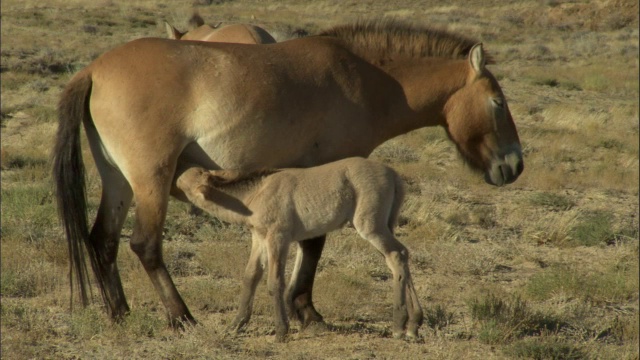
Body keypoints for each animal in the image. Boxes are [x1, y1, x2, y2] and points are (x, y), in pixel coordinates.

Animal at [53, 19, 524, 330]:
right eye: (498, 102)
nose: (514, 165)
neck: (363, 80)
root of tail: (93, 70)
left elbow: (307, 244)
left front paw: (300, 309)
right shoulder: (330, 174)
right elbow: (314, 244)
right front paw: (307, 311)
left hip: (119, 181)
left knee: (104, 240)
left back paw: (120, 313)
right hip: (151, 179)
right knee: (145, 245)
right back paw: (182, 317)